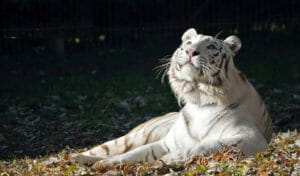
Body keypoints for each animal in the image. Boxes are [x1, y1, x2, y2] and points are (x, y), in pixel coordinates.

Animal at [71, 28, 274, 168]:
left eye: (211, 46)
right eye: (189, 42)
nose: (190, 51)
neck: (200, 98)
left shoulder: (250, 137)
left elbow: (204, 146)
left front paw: (168, 159)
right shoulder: (166, 142)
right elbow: (138, 152)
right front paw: (105, 164)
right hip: (135, 136)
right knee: (103, 148)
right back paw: (76, 158)